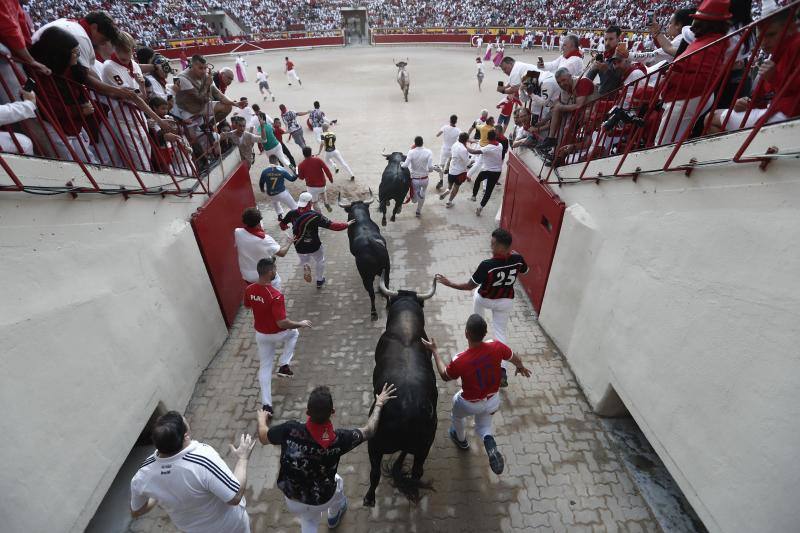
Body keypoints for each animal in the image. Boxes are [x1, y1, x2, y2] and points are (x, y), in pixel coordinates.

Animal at [338, 190, 390, 320]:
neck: (361, 220)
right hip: (386, 270)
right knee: (386, 287)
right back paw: (388, 306)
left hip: (366, 277)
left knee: (371, 294)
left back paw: (373, 313)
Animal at [364, 276, 438, 504]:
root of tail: (409, 409)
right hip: (423, 448)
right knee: (416, 471)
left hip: (375, 445)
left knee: (374, 473)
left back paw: (369, 498)